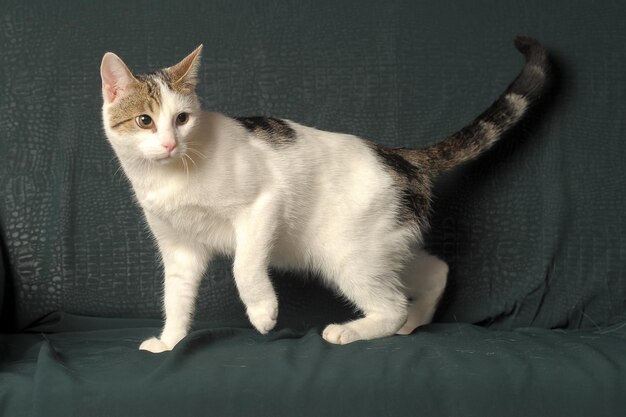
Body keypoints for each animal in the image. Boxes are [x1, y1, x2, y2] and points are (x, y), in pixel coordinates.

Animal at [98, 36, 544, 352]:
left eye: (182, 119)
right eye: (144, 121)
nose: (170, 143)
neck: (171, 176)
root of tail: (399, 155)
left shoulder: (263, 205)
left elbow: (245, 265)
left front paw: (263, 313)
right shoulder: (180, 250)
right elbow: (176, 298)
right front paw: (170, 342)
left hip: (348, 255)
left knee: (392, 304)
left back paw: (353, 331)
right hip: (379, 250)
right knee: (435, 270)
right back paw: (414, 321)